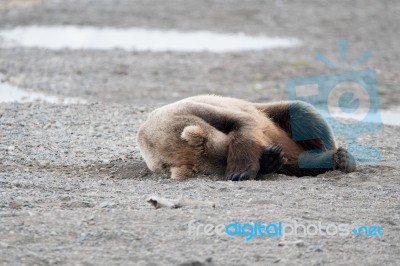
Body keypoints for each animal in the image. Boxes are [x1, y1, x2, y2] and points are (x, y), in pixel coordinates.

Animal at [136, 94, 354, 181]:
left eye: (228, 155)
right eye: (224, 161)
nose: (268, 148)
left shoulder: (199, 110)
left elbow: (243, 124)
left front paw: (239, 172)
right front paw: (269, 160)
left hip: (276, 116)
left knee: (304, 115)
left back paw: (340, 157)